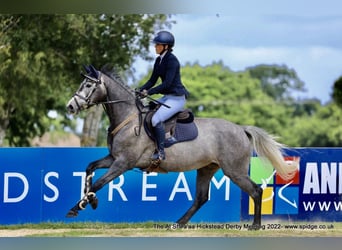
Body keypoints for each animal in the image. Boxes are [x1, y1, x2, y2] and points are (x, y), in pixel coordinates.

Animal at [66, 65, 296, 229]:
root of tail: (241, 129)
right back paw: (178, 223)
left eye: (88, 86)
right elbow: (89, 168)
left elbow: (98, 183)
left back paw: (255, 226)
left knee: (256, 191)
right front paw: (83, 205)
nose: (70, 106)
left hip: (234, 170)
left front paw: (85, 203)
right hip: (206, 168)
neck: (128, 119)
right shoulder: (114, 158)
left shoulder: (123, 163)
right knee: (201, 198)